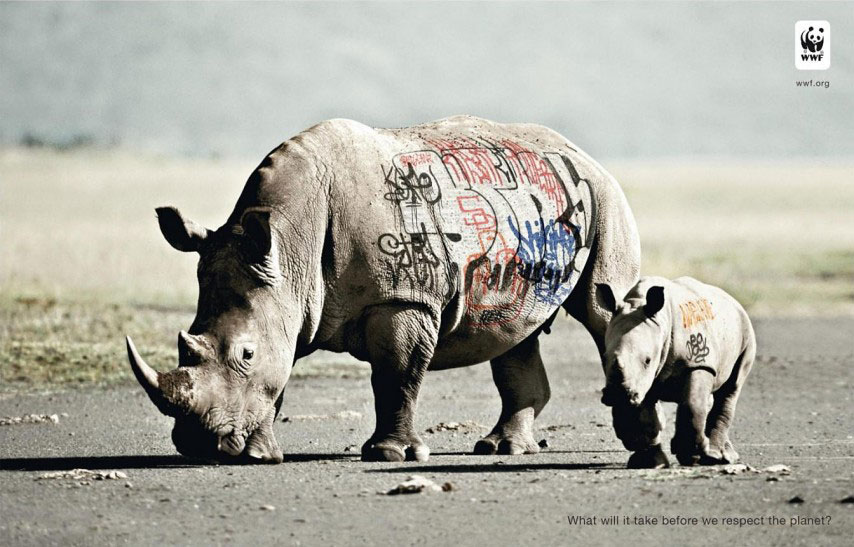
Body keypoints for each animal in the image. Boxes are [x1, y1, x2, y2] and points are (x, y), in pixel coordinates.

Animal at [126, 116, 641, 463]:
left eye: (245, 354)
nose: (194, 445)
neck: (290, 242)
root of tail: (583, 154)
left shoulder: (402, 297)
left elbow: (396, 375)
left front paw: (391, 455)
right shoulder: (287, 297)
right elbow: (281, 374)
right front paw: (259, 455)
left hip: (606, 200)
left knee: (603, 310)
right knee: (514, 334)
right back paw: (503, 448)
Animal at [596, 276, 756, 468]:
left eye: (647, 360)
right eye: (604, 358)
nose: (617, 394)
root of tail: (733, 301)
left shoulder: (697, 362)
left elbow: (692, 403)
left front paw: (691, 455)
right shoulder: (642, 380)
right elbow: (643, 416)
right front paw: (648, 462)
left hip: (745, 331)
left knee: (732, 387)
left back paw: (718, 457)